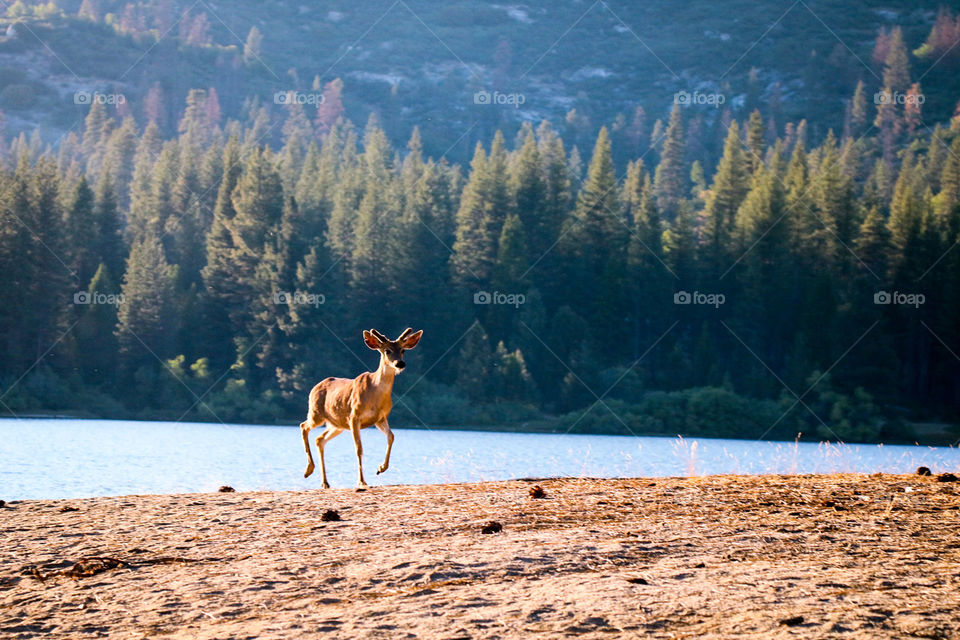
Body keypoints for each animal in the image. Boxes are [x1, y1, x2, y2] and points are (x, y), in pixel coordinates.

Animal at [300, 328, 423, 489]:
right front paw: (361, 481)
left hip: (337, 424)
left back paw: (325, 482)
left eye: (403, 350)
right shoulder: (354, 416)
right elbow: (359, 448)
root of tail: (314, 388)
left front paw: (380, 468)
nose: (400, 363)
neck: (375, 393)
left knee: (319, 439)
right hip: (316, 413)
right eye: (387, 350)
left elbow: (391, 436)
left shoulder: (380, 418)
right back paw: (308, 470)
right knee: (304, 426)